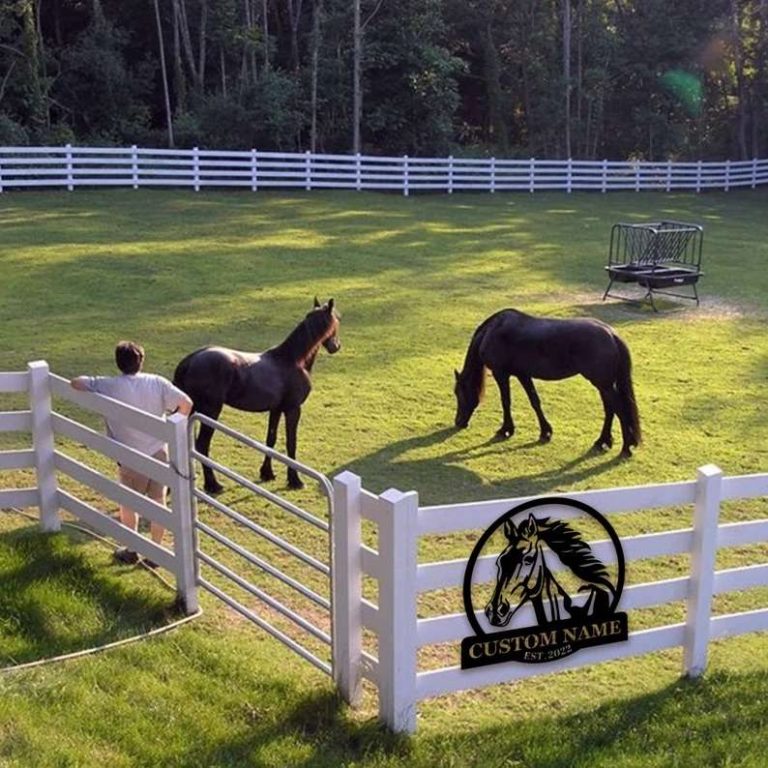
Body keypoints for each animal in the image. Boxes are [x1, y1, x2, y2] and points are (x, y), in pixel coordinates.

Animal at [173, 298, 340, 493]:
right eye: (336, 323)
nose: (336, 346)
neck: (292, 360)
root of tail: (190, 360)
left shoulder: (276, 409)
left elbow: (271, 440)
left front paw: (267, 473)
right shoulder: (293, 410)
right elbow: (291, 444)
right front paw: (295, 480)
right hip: (210, 412)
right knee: (202, 446)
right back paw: (213, 485)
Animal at [453, 309, 641, 457]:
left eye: (458, 393)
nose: (458, 422)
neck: (493, 330)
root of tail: (611, 334)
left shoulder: (501, 374)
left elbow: (506, 401)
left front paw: (506, 430)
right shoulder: (523, 374)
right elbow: (535, 401)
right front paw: (545, 432)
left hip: (604, 385)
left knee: (620, 411)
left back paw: (626, 447)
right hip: (604, 386)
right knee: (610, 410)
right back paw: (603, 441)